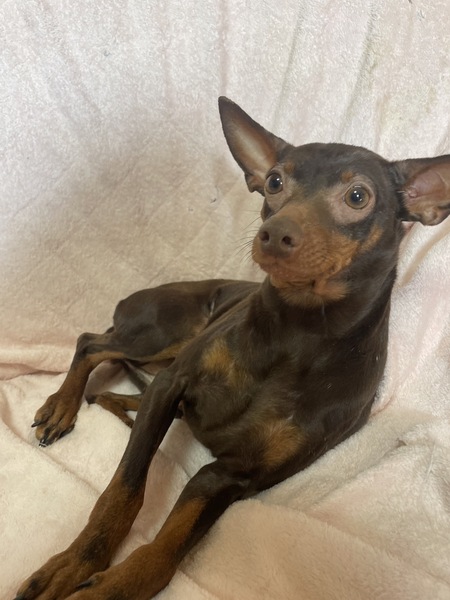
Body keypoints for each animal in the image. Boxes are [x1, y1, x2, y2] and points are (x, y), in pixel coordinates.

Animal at [16, 97, 450, 600]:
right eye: (276, 181)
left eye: (358, 197)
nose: (275, 235)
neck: (296, 333)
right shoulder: (172, 386)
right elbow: (123, 490)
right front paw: (75, 562)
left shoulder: (233, 475)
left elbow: (165, 554)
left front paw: (116, 586)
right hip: (164, 335)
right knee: (91, 344)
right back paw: (61, 407)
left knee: (118, 386)